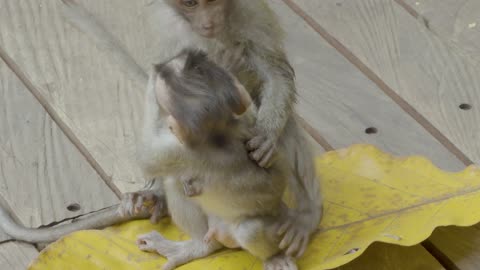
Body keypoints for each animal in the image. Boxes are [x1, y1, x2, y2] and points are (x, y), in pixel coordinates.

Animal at [137, 49, 298, 270]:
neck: (220, 133)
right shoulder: (244, 122)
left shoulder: (180, 152)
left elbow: (147, 157)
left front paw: (159, 74)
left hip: (277, 225)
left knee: (249, 230)